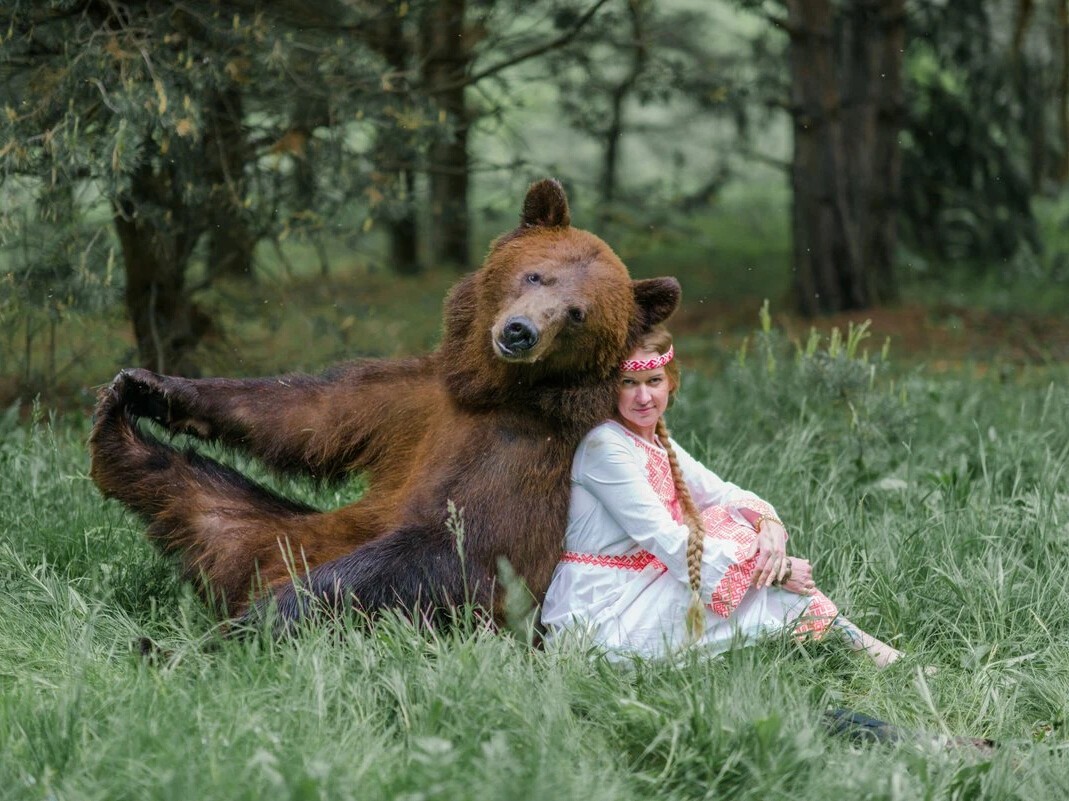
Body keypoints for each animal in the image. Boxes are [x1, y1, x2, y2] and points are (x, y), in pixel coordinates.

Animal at [88, 178, 680, 628]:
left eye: (578, 313)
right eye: (536, 273)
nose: (519, 331)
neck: (492, 392)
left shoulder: (523, 460)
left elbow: (452, 554)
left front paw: (282, 610)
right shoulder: (417, 403)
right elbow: (312, 415)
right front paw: (149, 385)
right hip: (291, 535)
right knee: (204, 499)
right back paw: (119, 441)